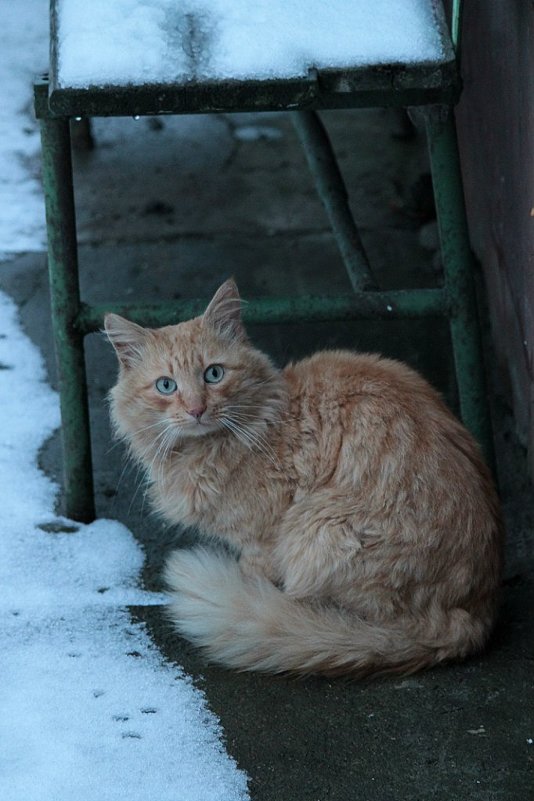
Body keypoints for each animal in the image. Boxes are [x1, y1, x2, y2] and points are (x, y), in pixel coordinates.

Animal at [105, 280, 506, 676]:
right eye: (166, 386)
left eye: (214, 374)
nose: (196, 409)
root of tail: (476, 615)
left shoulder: (262, 542)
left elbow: (254, 576)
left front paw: (250, 593)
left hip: (318, 533)